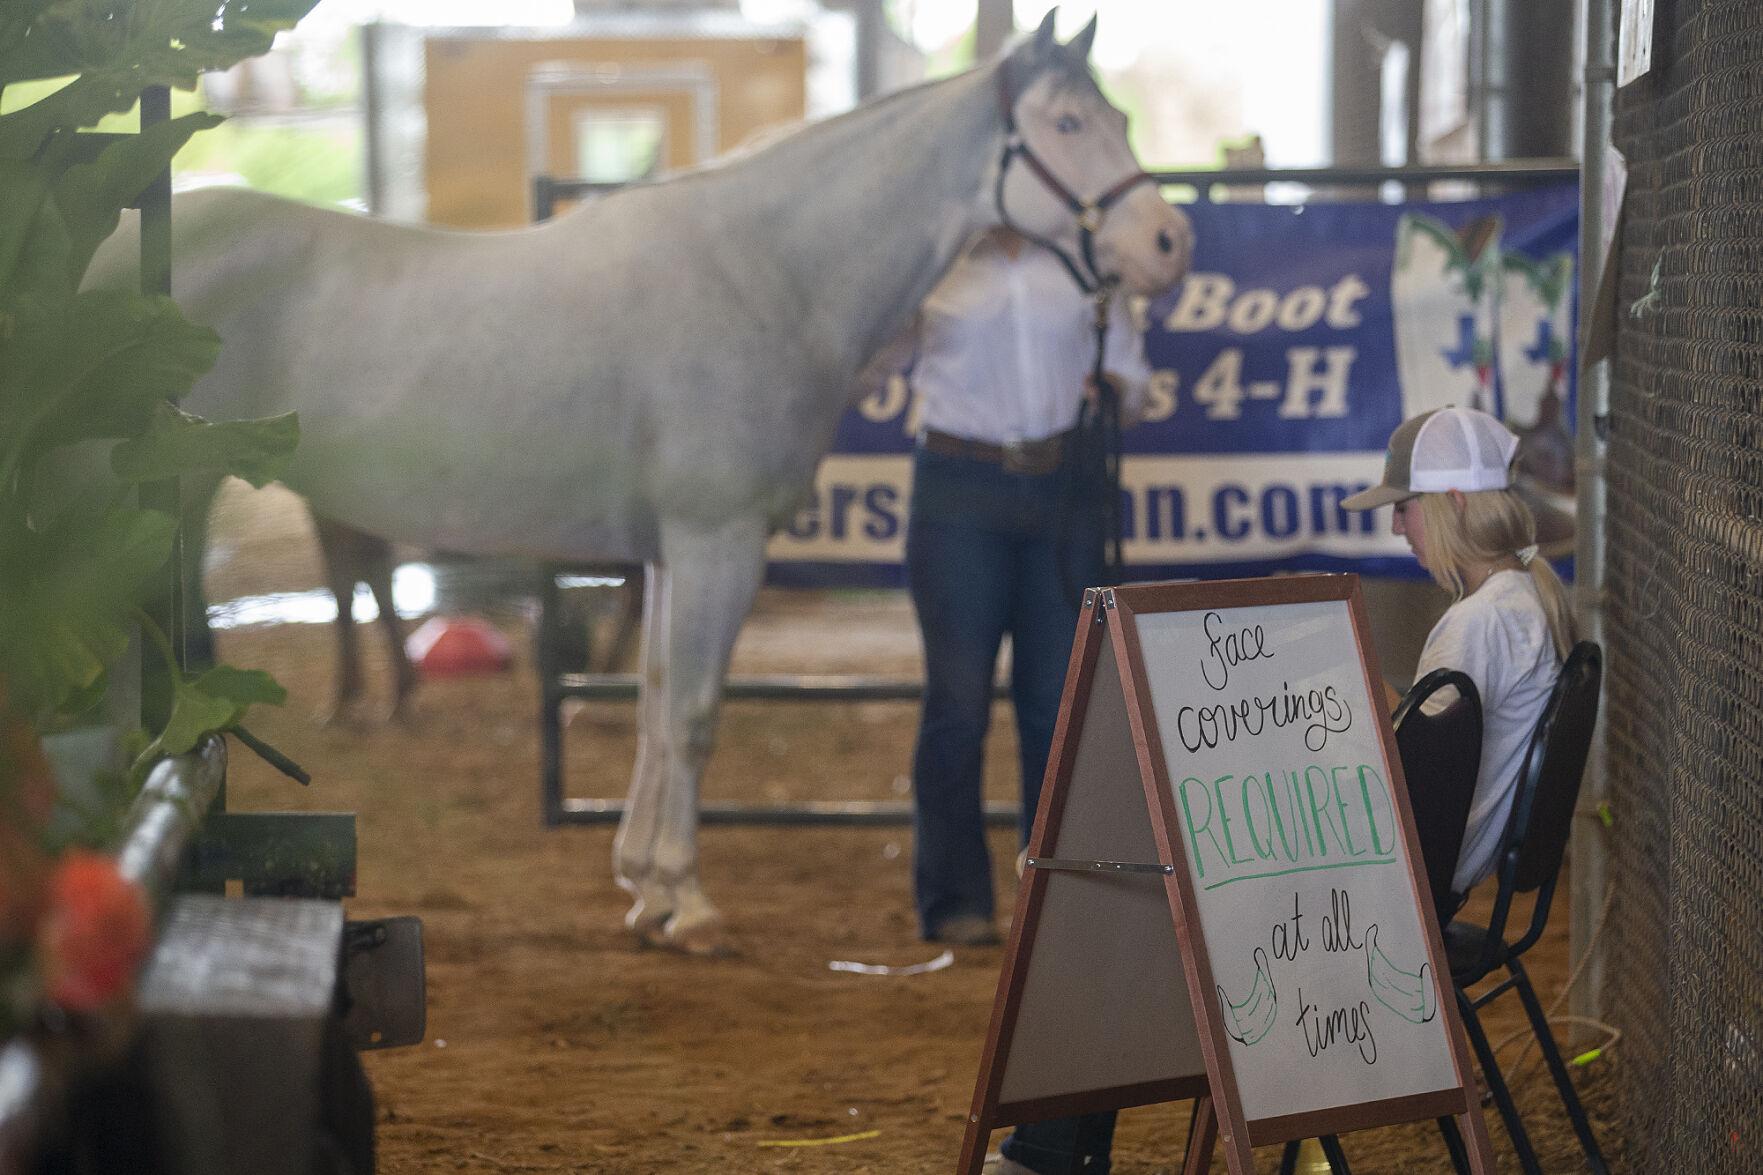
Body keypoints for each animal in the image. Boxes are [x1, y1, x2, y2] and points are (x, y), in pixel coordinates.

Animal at [92, 11, 1193, 953]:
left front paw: (645, 886)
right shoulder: (719, 540)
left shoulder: (670, 553)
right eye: (1066, 123)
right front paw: (691, 903)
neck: (768, 271)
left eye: (1120, 118)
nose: (1167, 245)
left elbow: (658, 702)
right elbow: (697, 715)